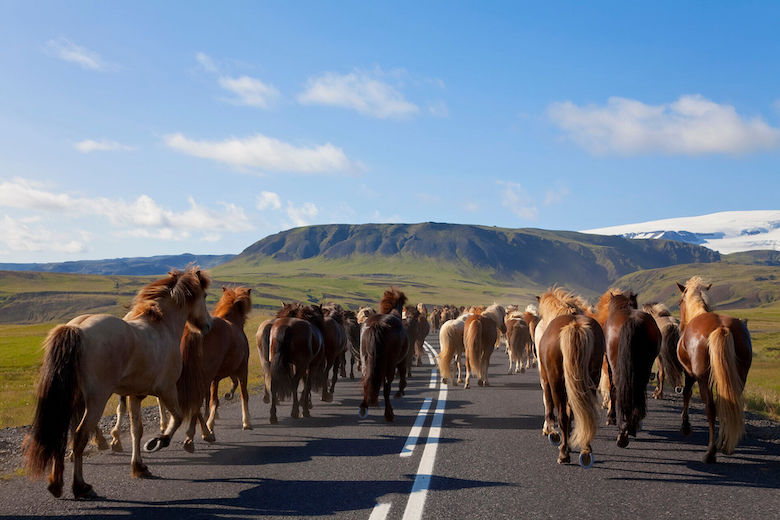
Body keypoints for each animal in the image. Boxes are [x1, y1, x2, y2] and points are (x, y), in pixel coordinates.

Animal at [24, 268, 213, 500]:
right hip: (97, 400)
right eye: (204, 296)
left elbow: (136, 430)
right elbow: (176, 418)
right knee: (79, 436)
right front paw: (158, 442)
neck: (162, 326)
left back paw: (56, 484)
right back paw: (81, 486)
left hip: (72, 399)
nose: (208, 325)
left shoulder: (135, 395)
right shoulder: (167, 390)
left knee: (62, 433)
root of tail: (77, 328)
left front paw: (139, 467)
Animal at [358, 288, 408, 422]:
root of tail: (378, 324)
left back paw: (364, 408)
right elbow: (402, 376)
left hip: (365, 360)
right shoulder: (402, 360)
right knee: (387, 387)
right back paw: (389, 414)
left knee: (366, 381)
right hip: (390, 364)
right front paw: (400, 392)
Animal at [536, 288, 604, 468]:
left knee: (562, 415)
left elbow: (549, 404)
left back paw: (564, 453)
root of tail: (575, 325)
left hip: (556, 381)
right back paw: (585, 450)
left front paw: (551, 432)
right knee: (585, 412)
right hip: (591, 379)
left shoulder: (546, 379)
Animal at [600, 292, 660, 446]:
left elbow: (612, 389)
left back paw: (623, 431)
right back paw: (632, 426)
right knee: (638, 388)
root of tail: (633, 321)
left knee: (618, 388)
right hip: (644, 367)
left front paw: (611, 418)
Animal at [680, 276, 752, 464]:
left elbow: (686, 394)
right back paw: (724, 444)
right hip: (739, 377)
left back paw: (710, 452)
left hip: (704, 379)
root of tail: (723, 327)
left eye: (680, 301)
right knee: (729, 404)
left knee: (711, 408)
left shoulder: (689, 373)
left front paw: (685, 427)